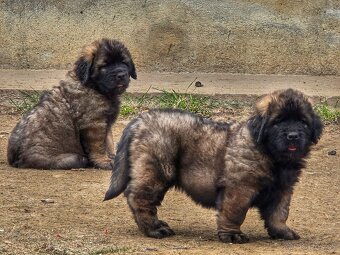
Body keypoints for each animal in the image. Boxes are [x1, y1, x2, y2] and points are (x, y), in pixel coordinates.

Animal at [7, 37, 137, 169]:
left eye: (124, 63)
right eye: (104, 66)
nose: (121, 75)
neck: (93, 86)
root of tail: (15, 159)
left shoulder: (105, 122)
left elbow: (108, 141)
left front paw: (112, 157)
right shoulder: (94, 124)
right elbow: (99, 146)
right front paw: (104, 161)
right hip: (66, 158)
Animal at [105, 89, 322, 243]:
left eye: (303, 122)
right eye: (278, 122)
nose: (293, 135)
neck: (273, 156)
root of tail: (140, 120)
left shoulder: (282, 189)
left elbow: (279, 213)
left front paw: (282, 231)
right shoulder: (239, 188)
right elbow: (234, 213)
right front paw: (232, 235)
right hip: (157, 169)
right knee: (139, 197)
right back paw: (155, 228)